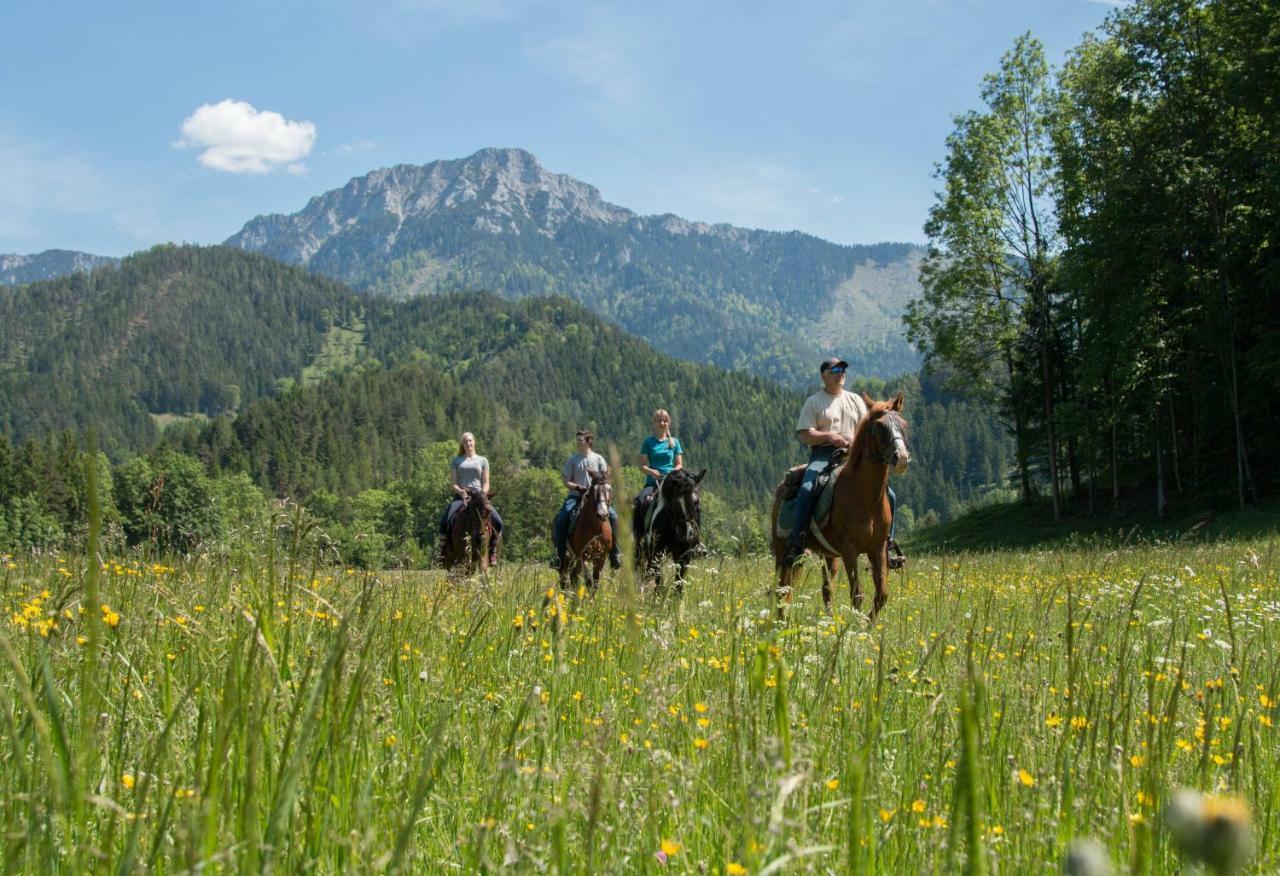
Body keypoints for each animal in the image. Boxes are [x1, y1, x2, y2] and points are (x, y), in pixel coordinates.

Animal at [632, 466, 711, 594]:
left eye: (696, 501)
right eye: (676, 503)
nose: (687, 533)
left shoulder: (684, 557)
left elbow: (679, 586)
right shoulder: (657, 555)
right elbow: (659, 585)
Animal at [768, 394, 911, 619]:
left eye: (903, 425)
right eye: (879, 427)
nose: (902, 458)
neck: (864, 496)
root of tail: (783, 485)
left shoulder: (878, 548)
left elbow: (881, 595)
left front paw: (867, 625)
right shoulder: (849, 549)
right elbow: (857, 594)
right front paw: (856, 624)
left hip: (827, 556)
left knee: (824, 589)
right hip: (785, 553)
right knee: (783, 589)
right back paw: (782, 622)